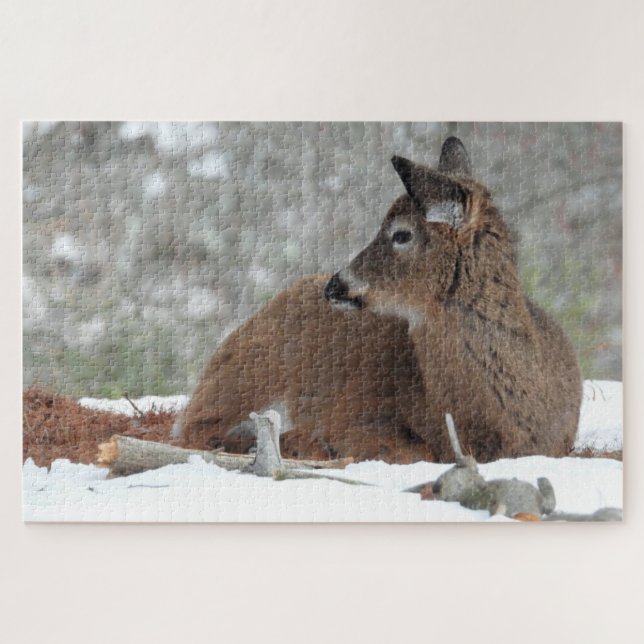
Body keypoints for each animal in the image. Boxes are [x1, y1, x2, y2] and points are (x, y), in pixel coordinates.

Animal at [175, 136, 582, 464]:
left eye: (401, 234)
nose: (335, 285)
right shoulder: (357, 415)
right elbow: (405, 450)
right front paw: (308, 443)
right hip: (251, 371)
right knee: (196, 427)